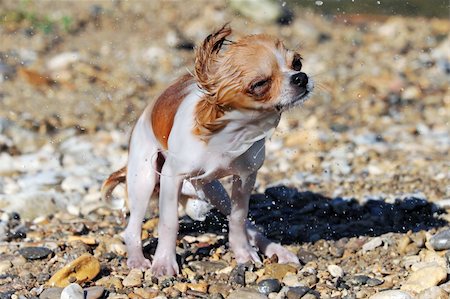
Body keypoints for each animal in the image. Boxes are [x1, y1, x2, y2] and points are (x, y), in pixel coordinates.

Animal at [101, 25, 312, 276]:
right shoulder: (172, 176)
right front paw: (164, 262)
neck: (233, 132)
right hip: (145, 179)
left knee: (244, 222)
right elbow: (169, 222)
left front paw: (243, 252)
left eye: (297, 63)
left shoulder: (246, 176)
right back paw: (136, 259)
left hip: (214, 190)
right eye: (260, 84)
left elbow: (238, 218)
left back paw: (276, 250)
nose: (301, 77)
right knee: (132, 228)